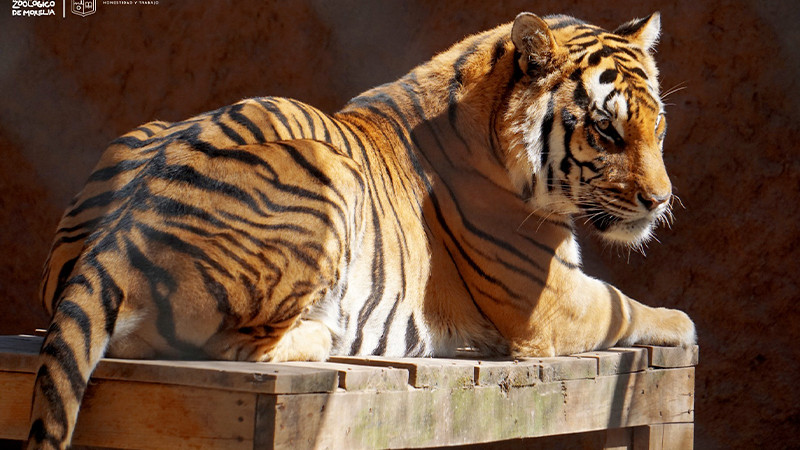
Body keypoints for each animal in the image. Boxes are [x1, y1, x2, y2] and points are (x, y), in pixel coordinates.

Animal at [28, 11, 692, 450]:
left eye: (658, 127)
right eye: (606, 130)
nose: (660, 201)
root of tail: (113, 241)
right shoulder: (547, 300)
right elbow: (625, 305)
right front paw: (681, 321)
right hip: (327, 170)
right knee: (238, 346)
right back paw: (326, 336)